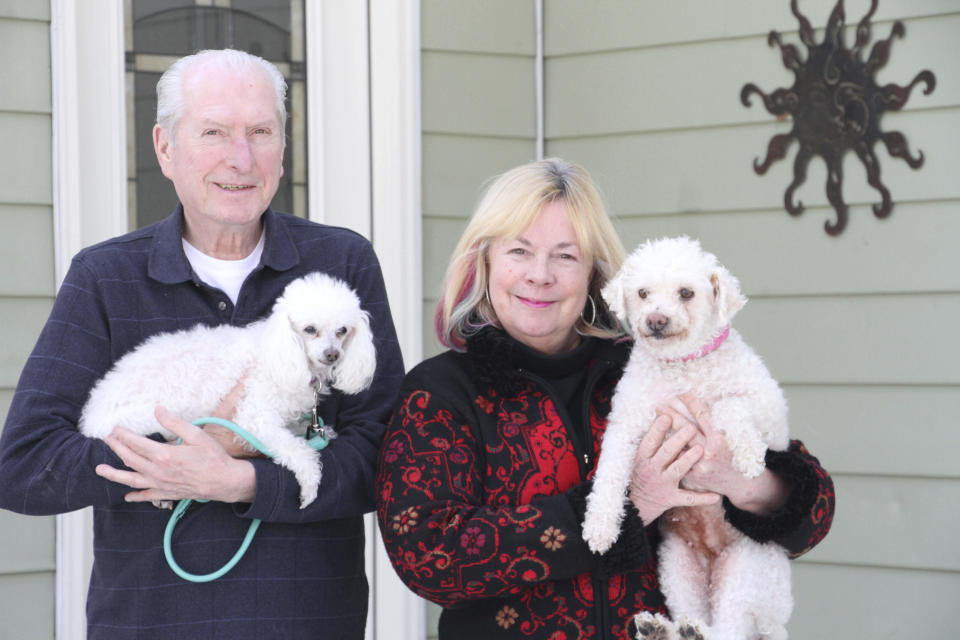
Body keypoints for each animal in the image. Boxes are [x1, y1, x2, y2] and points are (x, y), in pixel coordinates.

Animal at [79, 272, 376, 510]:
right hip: (148, 421)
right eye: (310, 329)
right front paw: (310, 484)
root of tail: (91, 417)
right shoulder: (254, 417)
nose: (332, 354)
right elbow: (295, 449)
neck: (283, 352)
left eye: (342, 330)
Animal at [580, 236, 792, 640]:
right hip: (678, 570)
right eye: (643, 293)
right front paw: (600, 528)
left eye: (686, 293)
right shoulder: (625, 424)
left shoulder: (772, 412)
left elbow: (729, 406)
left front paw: (747, 457)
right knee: (692, 618)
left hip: (745, 574)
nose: (655, 320)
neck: (682, 367)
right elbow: (608, 475)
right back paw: (661, 628)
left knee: (730, 631)